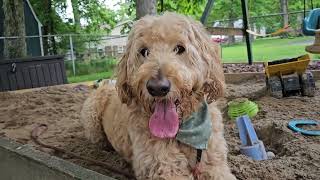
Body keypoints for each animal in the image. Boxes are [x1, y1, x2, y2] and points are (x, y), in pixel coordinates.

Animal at [80, 11, 235, 179]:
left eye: (180, 48)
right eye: (144, 51)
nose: (157, 88)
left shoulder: (215, 164)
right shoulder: (163, 167)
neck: (182, 130)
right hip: (92, 118)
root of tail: (105, 85)